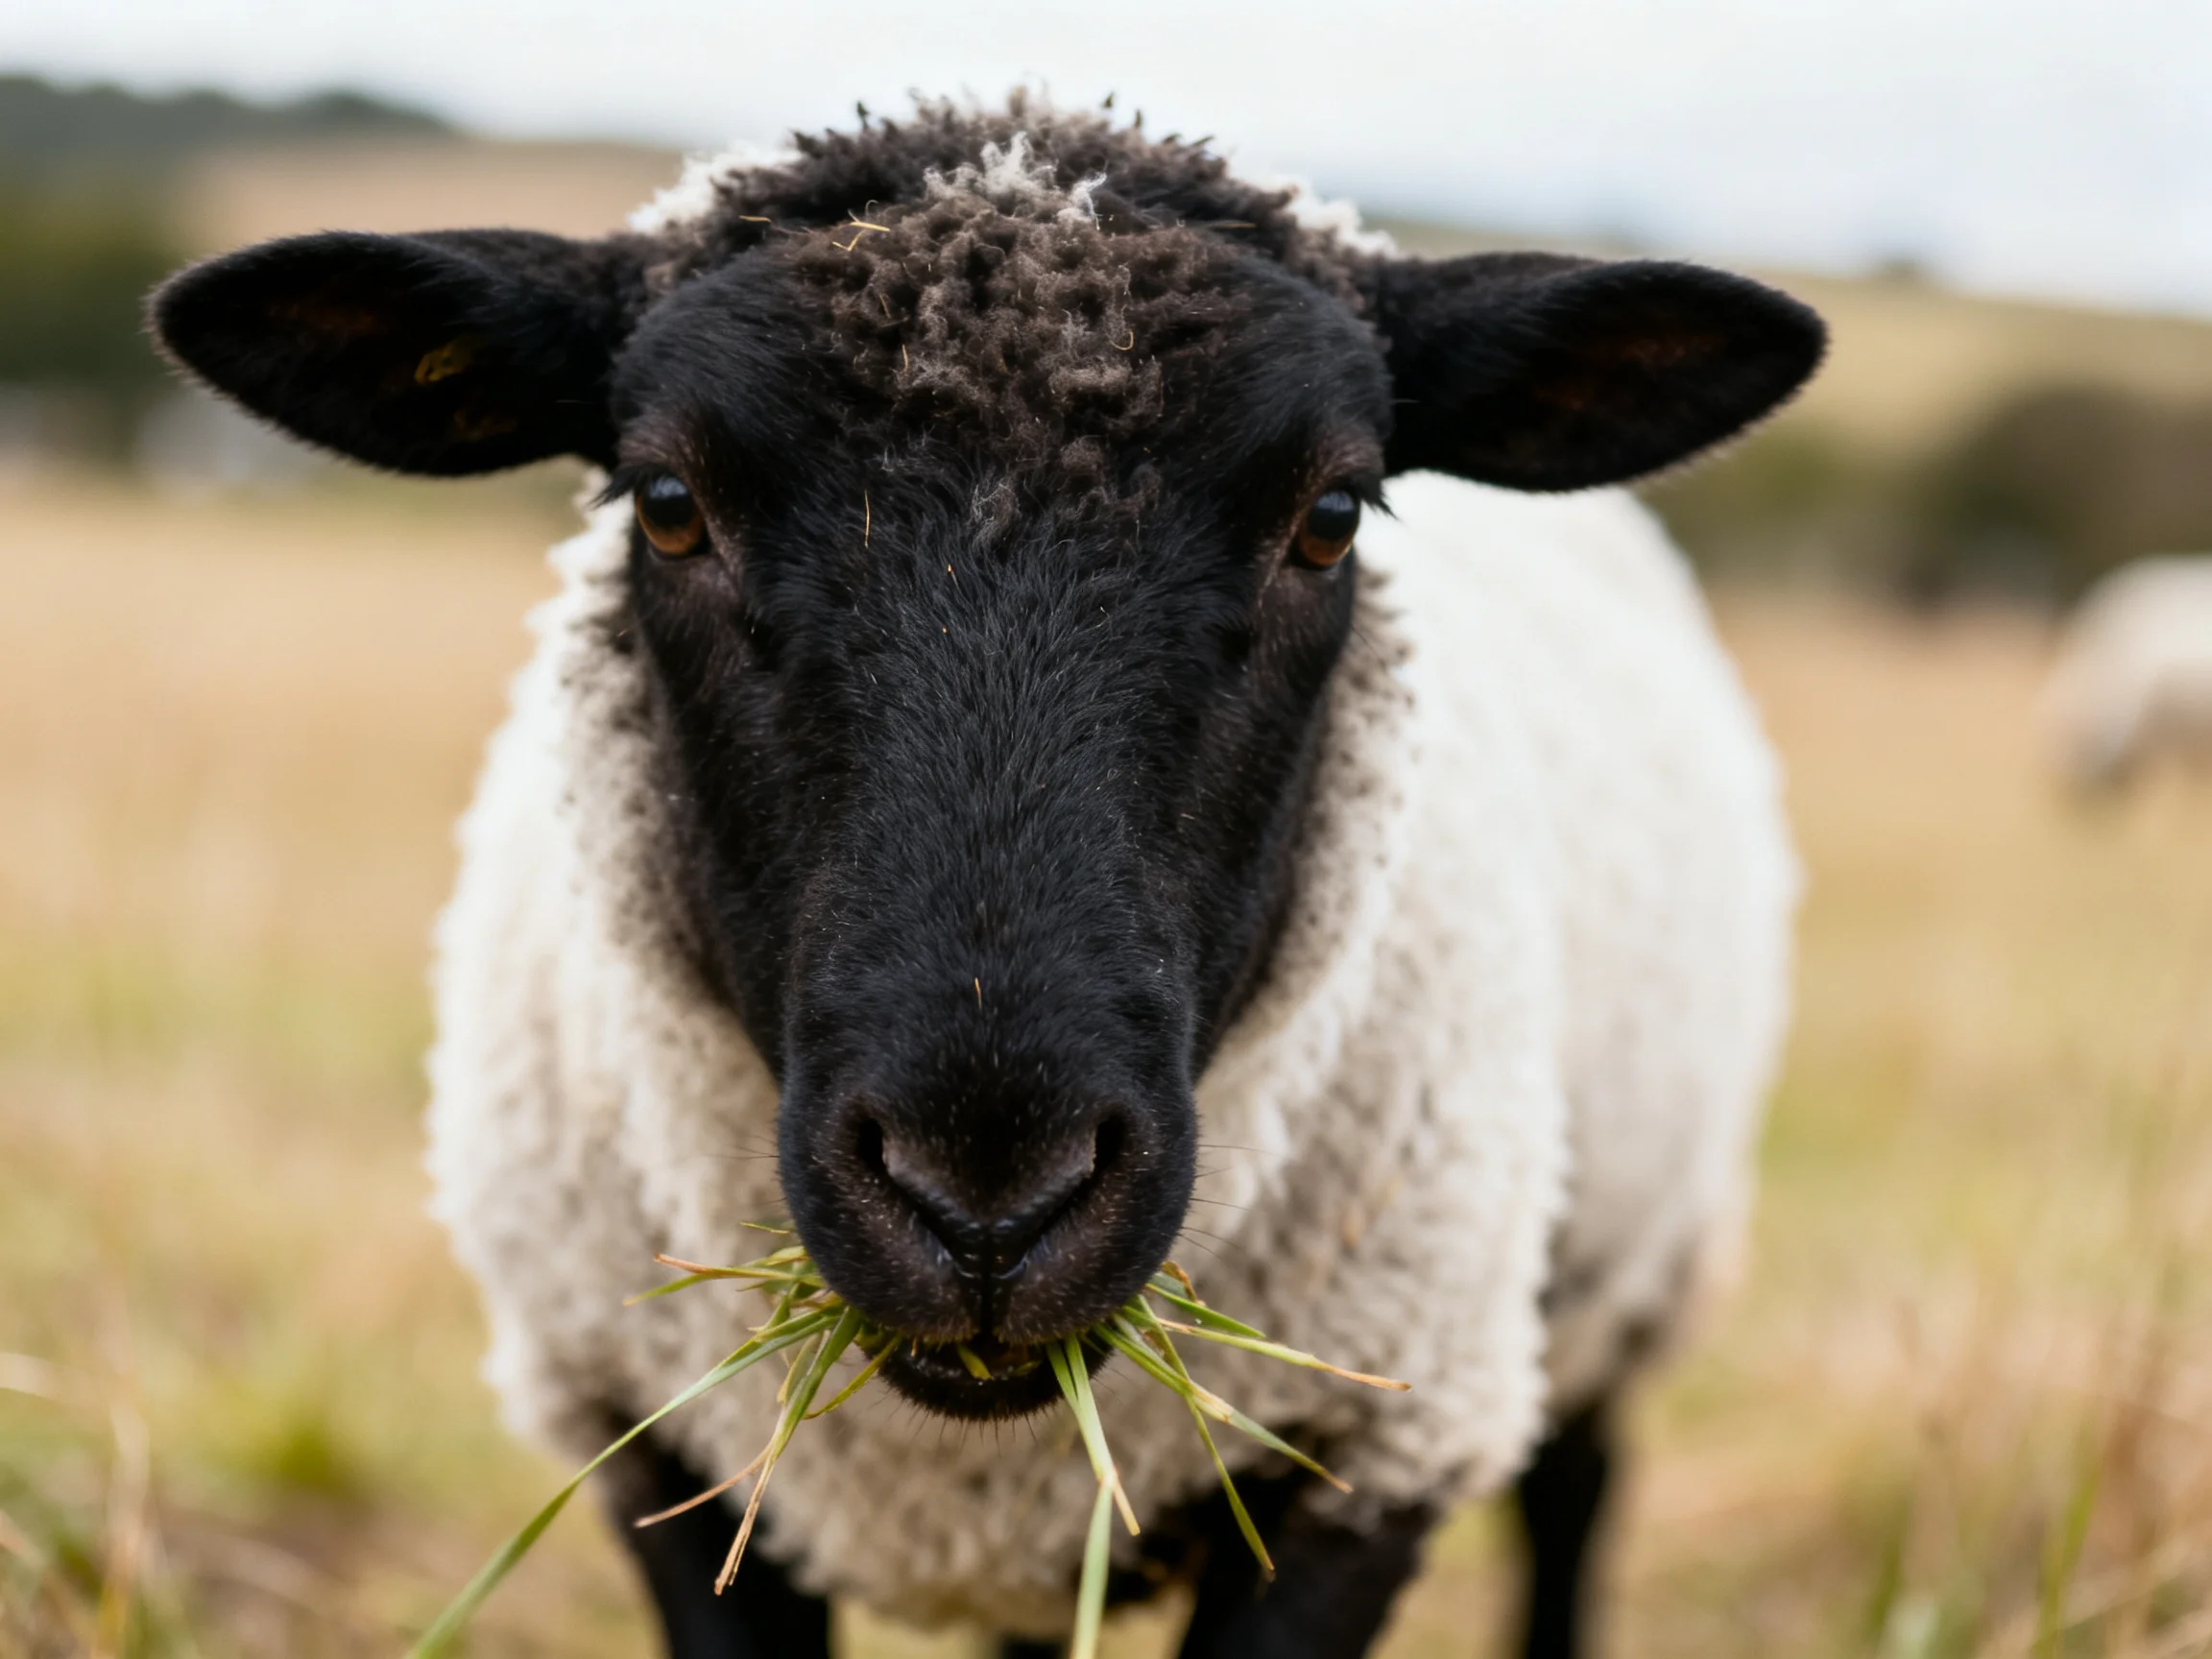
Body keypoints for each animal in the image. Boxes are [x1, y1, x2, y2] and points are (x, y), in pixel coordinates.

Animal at [148, 99, 1821, 1659]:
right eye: (668, 505)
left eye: (1332, 518)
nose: (987, 1206)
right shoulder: (653, 1447)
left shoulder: (1371, 1447)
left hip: (1625, 1266)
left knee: (1577, 1489)